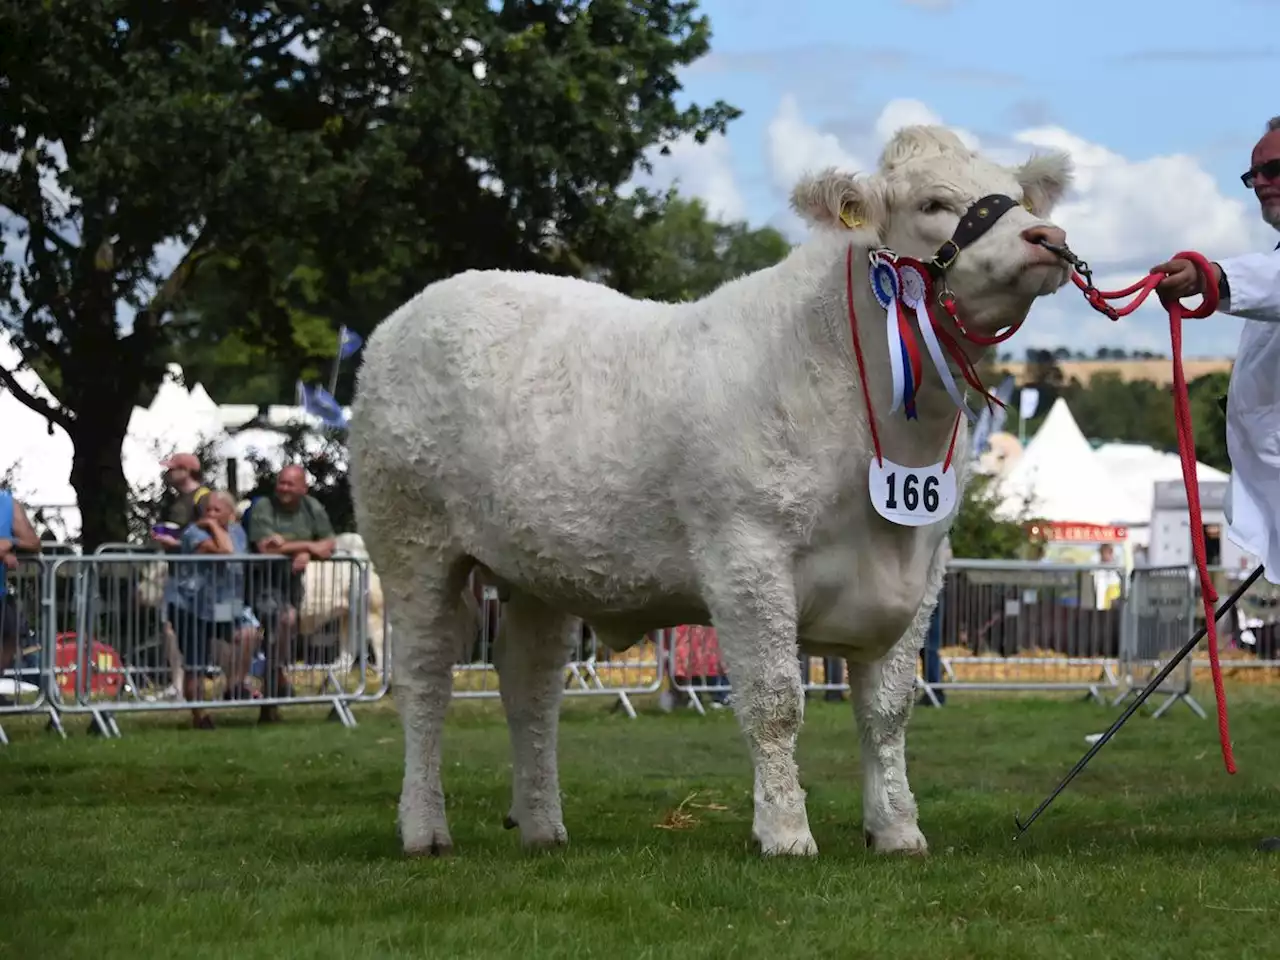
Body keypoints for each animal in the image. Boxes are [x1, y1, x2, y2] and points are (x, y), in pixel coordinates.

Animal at [348, 126, 1070, 855]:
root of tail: (408, 315)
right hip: (410, 540)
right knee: (425, 677)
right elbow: (775, 702)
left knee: (529, 680)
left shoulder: (922, 566)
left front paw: (896, 828)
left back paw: (543, 825)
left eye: (1016, 192)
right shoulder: (746, 554)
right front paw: (785, 832)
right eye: (933, 202)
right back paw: (425, 827)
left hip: (536, 569)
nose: (1048, 237)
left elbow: (889, 709)